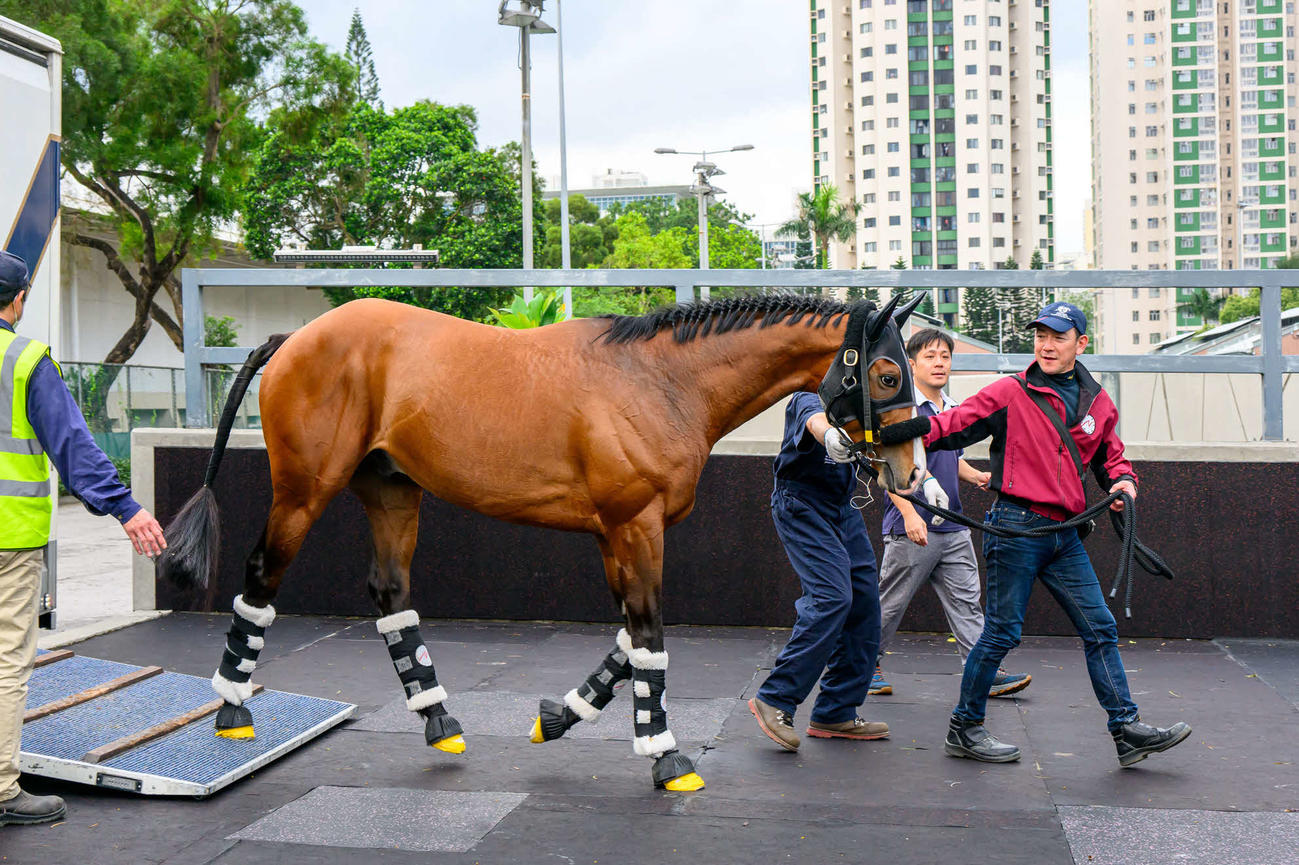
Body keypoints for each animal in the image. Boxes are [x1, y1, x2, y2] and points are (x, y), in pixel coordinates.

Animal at [157, 290, 927, 792]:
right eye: (888, 372)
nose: (909, 469)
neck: (659, 381)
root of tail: (295, 338)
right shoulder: (634, 524)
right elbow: (648, 634)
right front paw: (665, 754)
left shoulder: (618, 533)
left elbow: (629, 637)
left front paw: (560, 716)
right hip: (303, 489)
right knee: (262, 575)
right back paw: (231, 709)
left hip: (391, 490)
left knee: (389, 591)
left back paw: (439, 720)